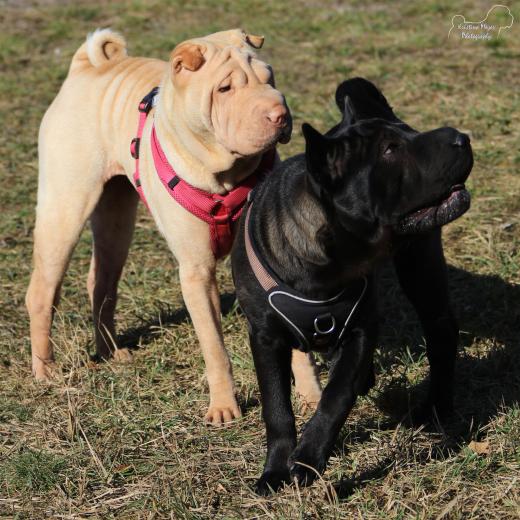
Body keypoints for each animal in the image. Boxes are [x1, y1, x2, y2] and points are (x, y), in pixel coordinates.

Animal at [25, 28, 322, 425]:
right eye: (224, 88)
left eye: (269, 77)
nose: (280, 114)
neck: (228, 175)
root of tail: (86, 67)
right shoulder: (196, 271)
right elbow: (214, 348)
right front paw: (224, 407)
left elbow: (299, 345)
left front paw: (311, 397)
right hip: (65, 208)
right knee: (43, 292)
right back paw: (46, 369)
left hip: (117, 219)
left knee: (101, 282)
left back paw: (111, 352)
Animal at [231, 77, 473, 493]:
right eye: (390, 150)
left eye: (410, 134)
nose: (461, 138)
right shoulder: (265, 338)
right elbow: (276, 407)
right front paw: (274, 470)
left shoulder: (361, 327)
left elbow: (335, 396)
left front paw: (308, 460)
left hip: (420, 264)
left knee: (441, 329)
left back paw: (437, 407)